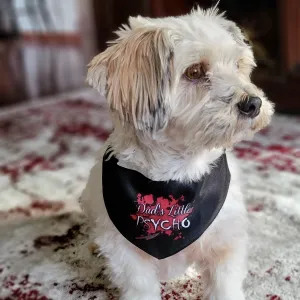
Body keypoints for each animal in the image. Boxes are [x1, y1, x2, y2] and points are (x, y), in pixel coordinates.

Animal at [80, 5, 274, 300]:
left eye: (238, 65)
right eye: (194, 71)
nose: (253, 103)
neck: (178, 173)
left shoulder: (224, 245)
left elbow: (224, 286)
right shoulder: (128, 258)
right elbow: (140, 287)